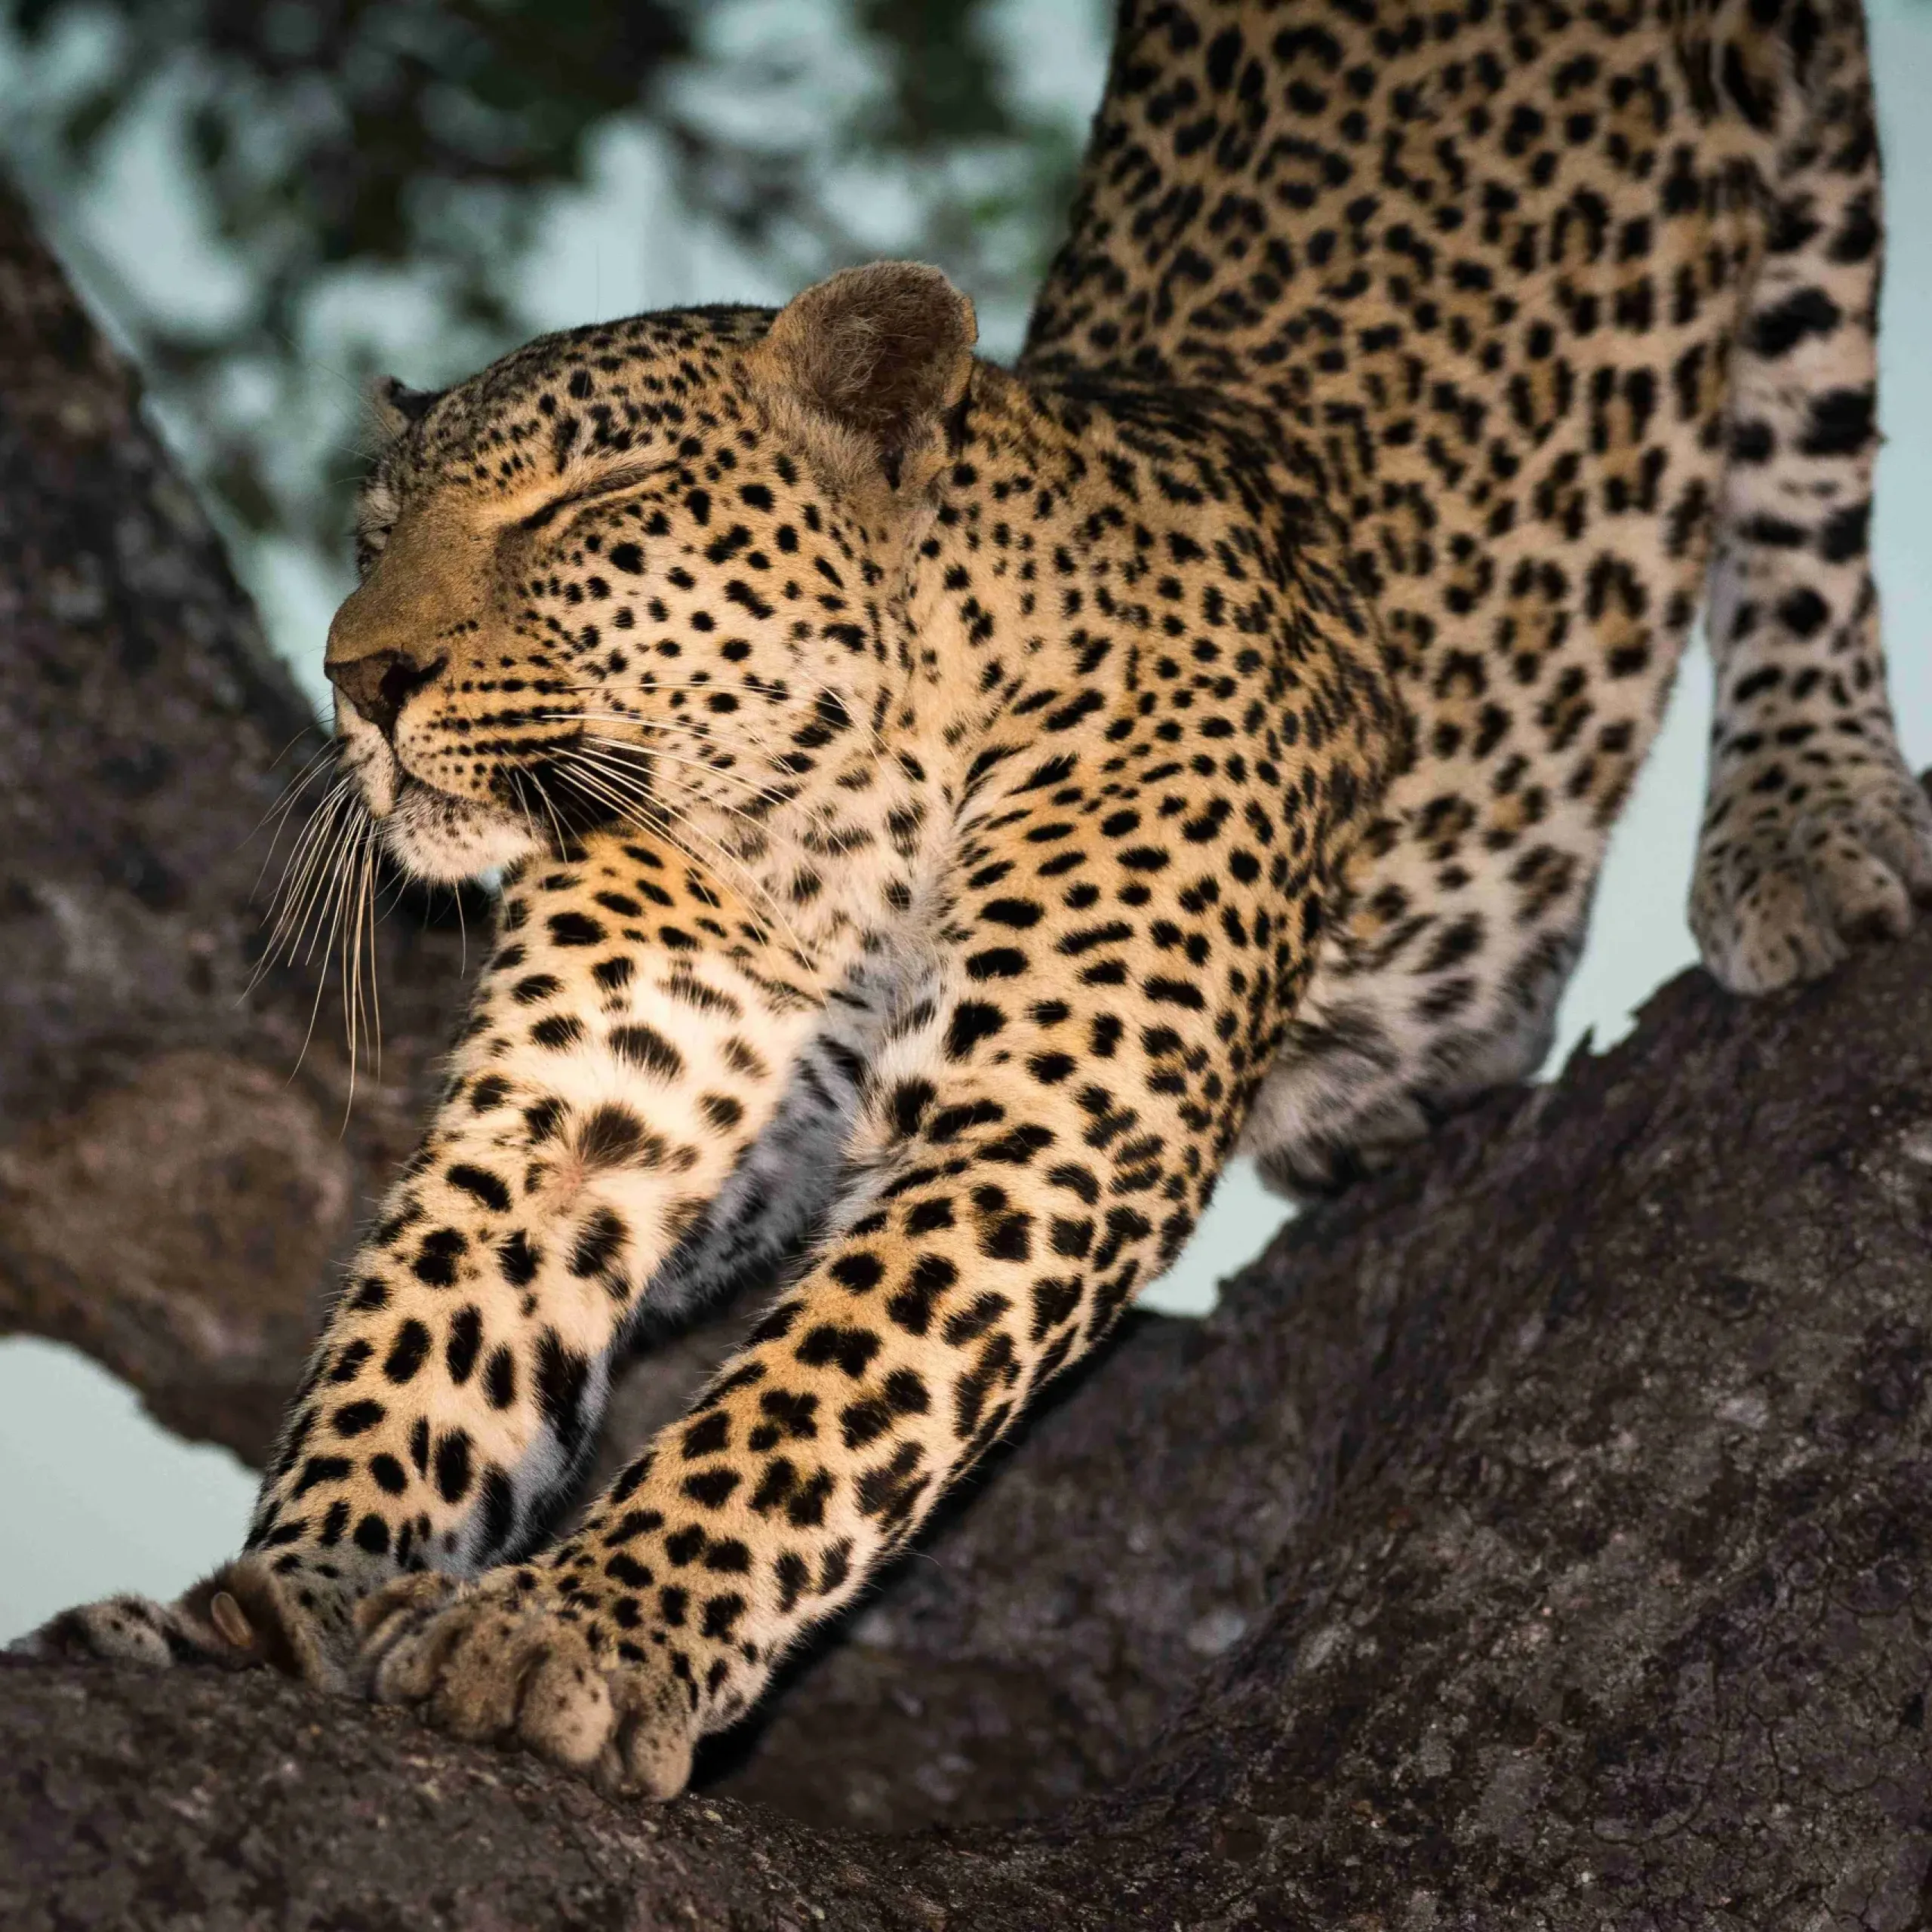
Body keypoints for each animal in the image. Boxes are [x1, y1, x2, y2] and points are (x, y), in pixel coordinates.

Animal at [24, 0, 1931, 1807]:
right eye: (369, 536)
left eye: (587, 503)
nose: (357, 677)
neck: (801, 820)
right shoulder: (573, 1114)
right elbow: (410, 1357)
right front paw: (271, 1598)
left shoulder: (1044, 1120)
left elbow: (808, 1401)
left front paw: (574, 1630)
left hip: (1804, 167)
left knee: (1802, 475)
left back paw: (1804, 819)